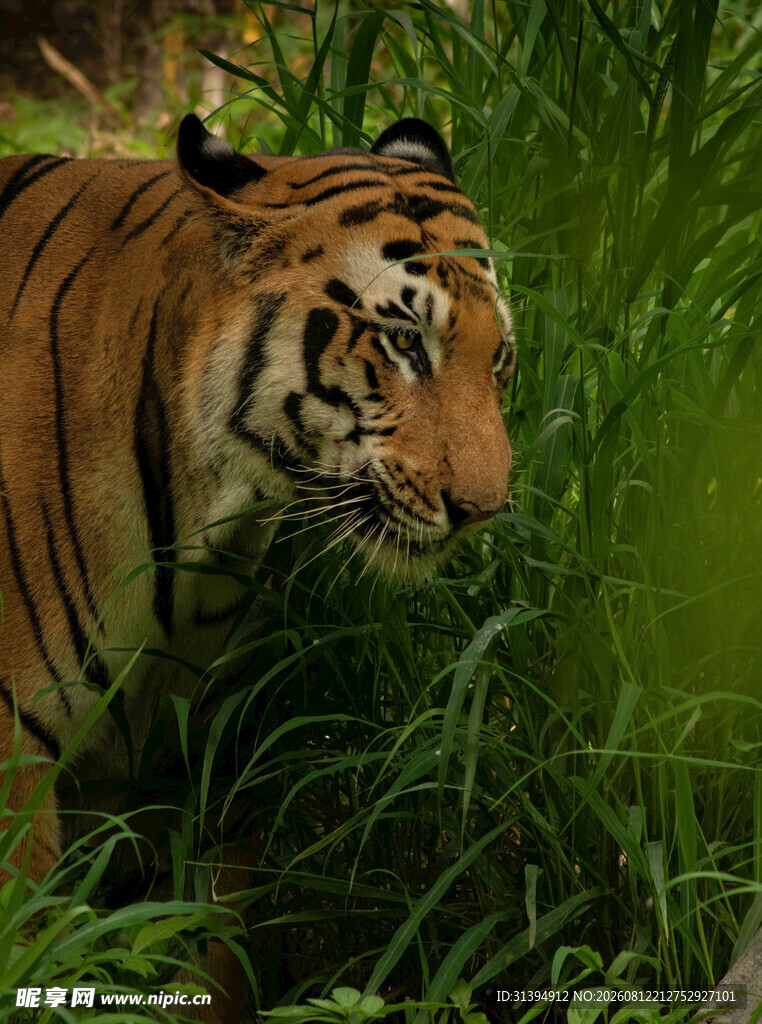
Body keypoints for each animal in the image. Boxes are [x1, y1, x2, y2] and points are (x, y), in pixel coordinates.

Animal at [0, 114, 514, 1009]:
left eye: (500, 357)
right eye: (405, 343)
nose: (483, 508)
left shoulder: (199, 751)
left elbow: (204, 953)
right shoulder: (14, 751)